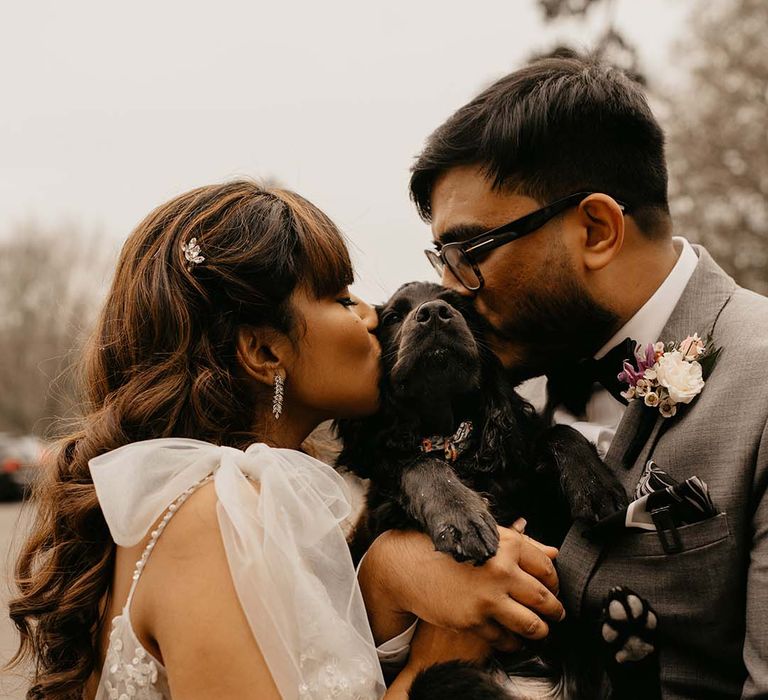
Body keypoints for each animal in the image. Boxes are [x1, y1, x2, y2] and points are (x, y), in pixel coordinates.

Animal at [336, 282, 660, 700]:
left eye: (459, 307)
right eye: (393, 316)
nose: (434, 313)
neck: (454, 440)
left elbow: (556, 432)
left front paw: (596, 486)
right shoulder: (384, 512)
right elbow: (419, 464)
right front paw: (462, 516)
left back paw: (631, 633)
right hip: (434, 680)